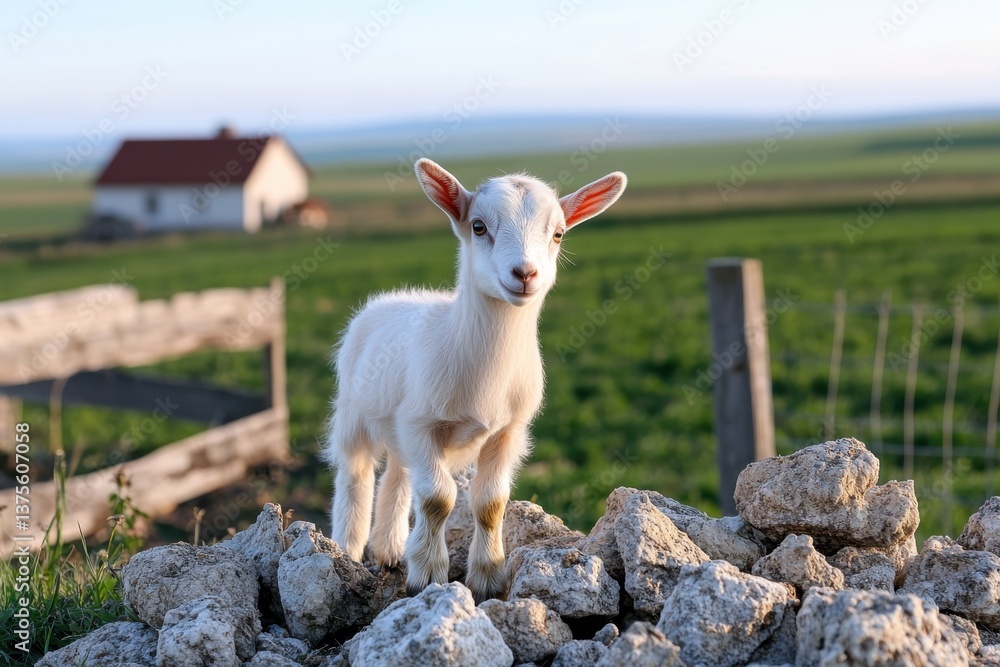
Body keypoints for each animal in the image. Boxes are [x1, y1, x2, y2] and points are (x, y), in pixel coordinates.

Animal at [326, 158, 627, 601]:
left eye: (558, 233)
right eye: (479, 226)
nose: (525, 273)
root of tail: (391, 297)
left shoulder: (508, 430)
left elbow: (491, 502)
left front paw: (487, 577)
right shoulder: (422, 423)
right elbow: (437, 499)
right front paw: (427, 576)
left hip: (400, 427)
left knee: (398, 475)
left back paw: (391, 550)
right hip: (353, 411)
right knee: (356, 473)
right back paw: (346, 549)